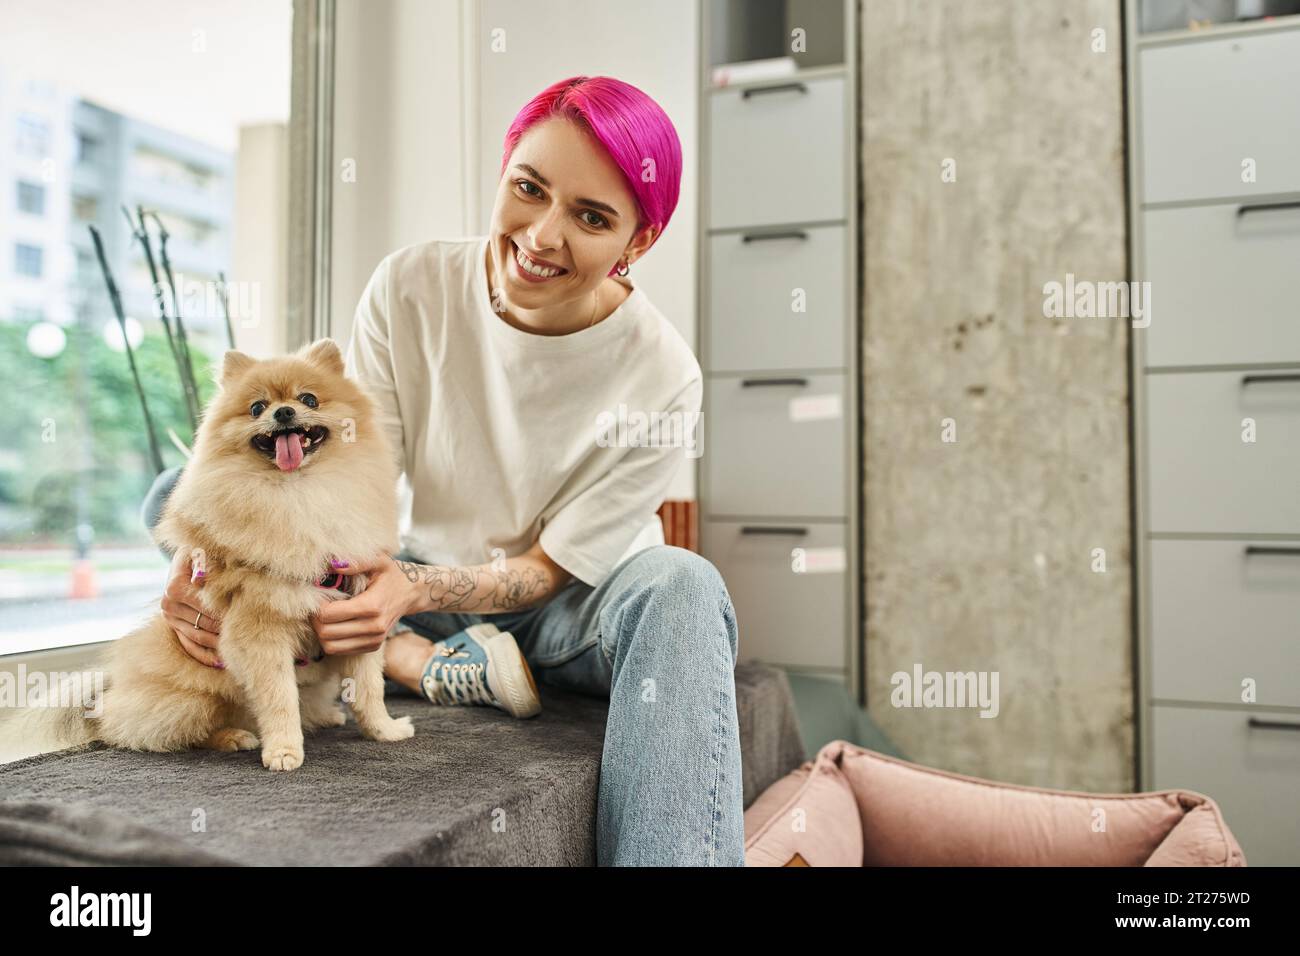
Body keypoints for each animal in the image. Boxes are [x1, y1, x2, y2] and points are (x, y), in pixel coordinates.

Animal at [5, 335, 410, 770]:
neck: (299, 493)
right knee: (180, 731)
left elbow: (368, 690)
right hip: (197, 700)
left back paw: (326, 715)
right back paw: (234, 736)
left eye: (309, 399)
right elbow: (279, 698)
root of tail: (113, 685)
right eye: (257, 407)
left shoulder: (358, 622)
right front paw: (284, 750)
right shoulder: (261, 630)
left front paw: (384, 731)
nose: (284, 411)